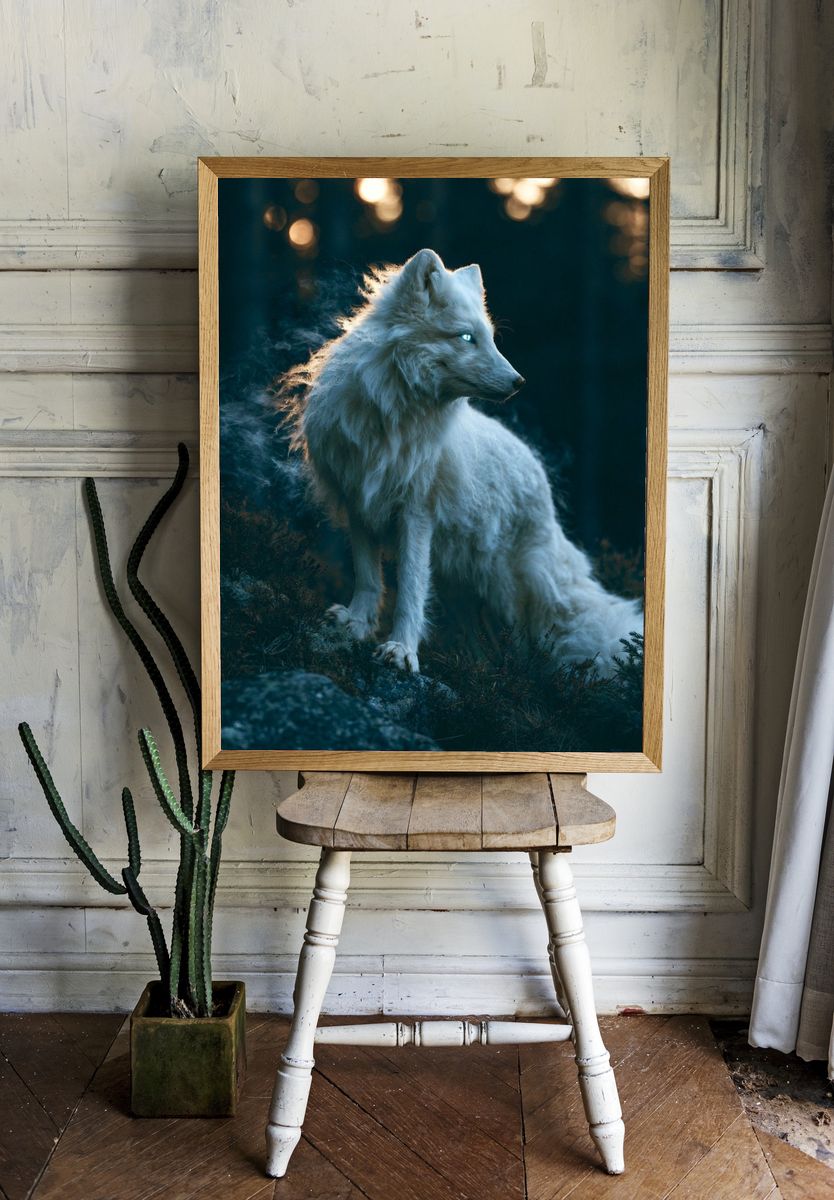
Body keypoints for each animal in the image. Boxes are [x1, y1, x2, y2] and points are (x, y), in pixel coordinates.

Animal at [278, 248, 642, 675]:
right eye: (467, 337)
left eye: (491, 338)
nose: (520, 382)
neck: (392, 416)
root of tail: (540, 476)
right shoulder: (360, 503)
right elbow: (369, 578)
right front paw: (357, 624)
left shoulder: (416, 513)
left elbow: (411, 589)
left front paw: (402, 650)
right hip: (463, 586)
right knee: (482, 639)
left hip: (507, 590)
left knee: (525, 643)